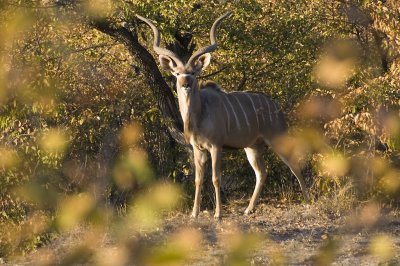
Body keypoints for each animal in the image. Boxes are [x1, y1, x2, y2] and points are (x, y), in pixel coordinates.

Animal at [138, 11, 310, 218]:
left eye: (193, 73)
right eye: (177, 73)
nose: (185, 84)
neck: (199, 115)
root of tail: (277, 107)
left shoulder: (216, 146)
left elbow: (215, 178)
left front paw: (218, 214)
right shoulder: (198, 148)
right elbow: (198, 179)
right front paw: (194, 213)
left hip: (277, 138)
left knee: (294, 164)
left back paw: (308, 202)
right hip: (252, 147)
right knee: (261, 172)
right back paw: (248, 209)